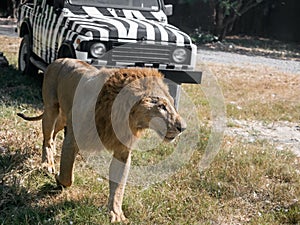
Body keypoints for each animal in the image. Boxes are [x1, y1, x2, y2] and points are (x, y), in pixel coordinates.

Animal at [17, 58, 186, 223]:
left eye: (172, 104)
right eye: (162, 106)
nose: (183, 127)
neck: (121, 116)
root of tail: (58, 59)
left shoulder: (122, 151)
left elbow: (118, 186)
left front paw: (116, 214)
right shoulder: (72, 139)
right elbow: (67, 175)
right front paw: (58, 179)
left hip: (64, 116)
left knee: (53, 133)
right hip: (51, 107)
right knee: (47, 137)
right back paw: (47, 164)